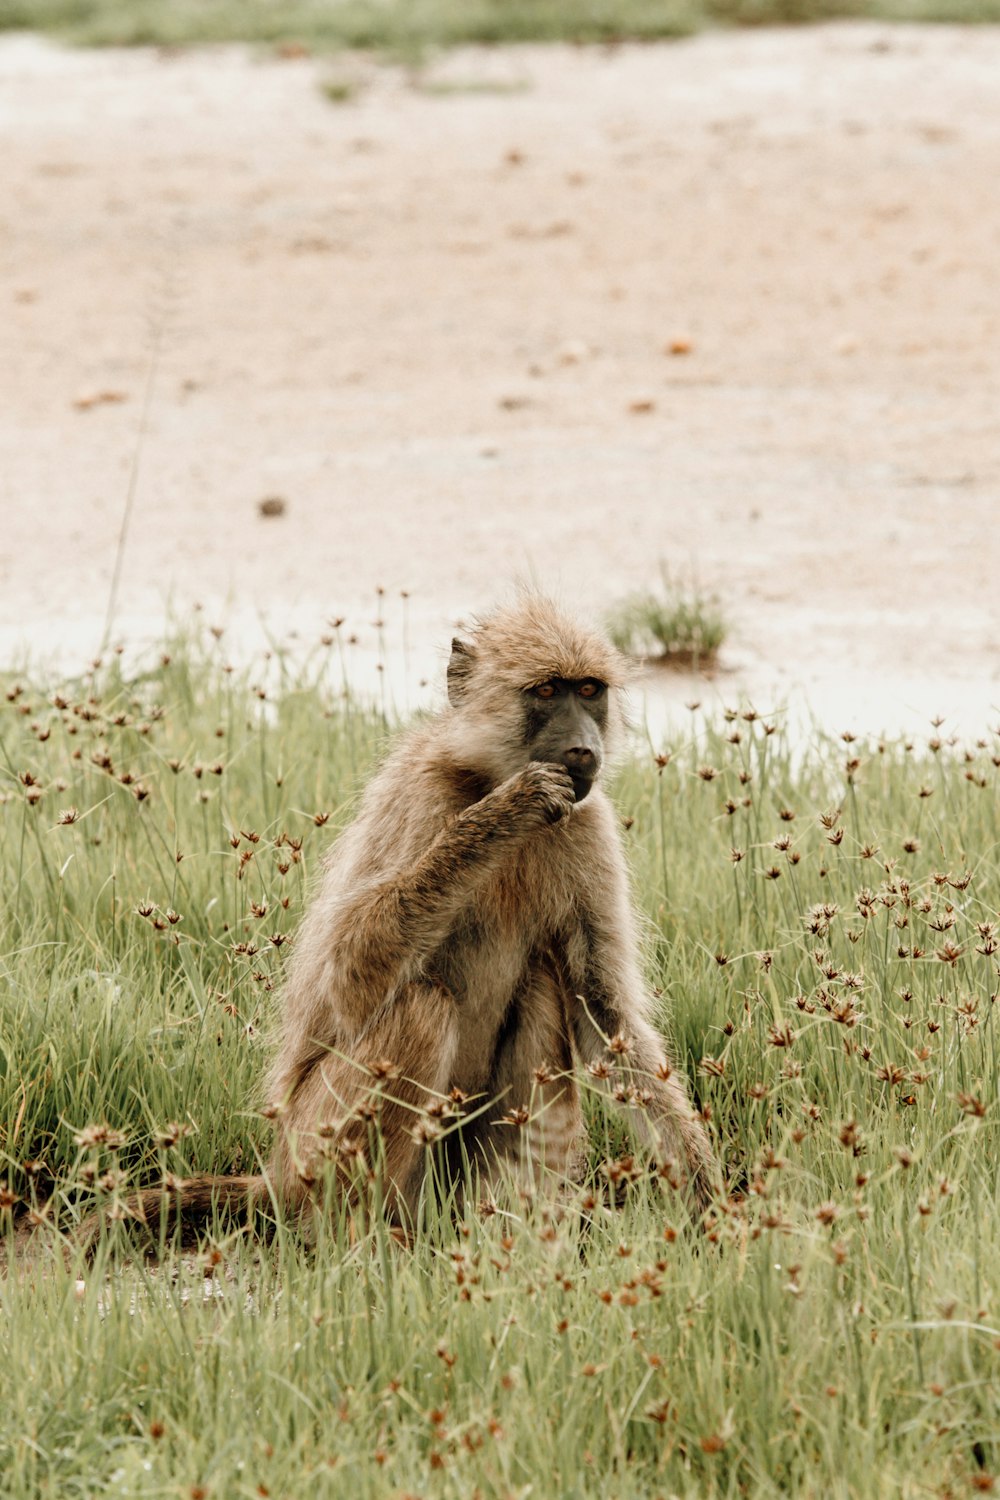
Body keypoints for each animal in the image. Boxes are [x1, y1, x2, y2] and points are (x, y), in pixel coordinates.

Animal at [82, 591, 716, 1248]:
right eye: (546, 691)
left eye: (589, 690)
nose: (584, 749)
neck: (485, 774)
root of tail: (273, 1177)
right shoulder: (418, 796)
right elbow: (349, 975)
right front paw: (502, 814)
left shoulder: (589, 825)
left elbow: (604, 1014)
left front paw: (710, 1200)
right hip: (310, 1149)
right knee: (421, 1007)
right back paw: (362, 1241)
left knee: (543, 988)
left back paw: (496, 1228)